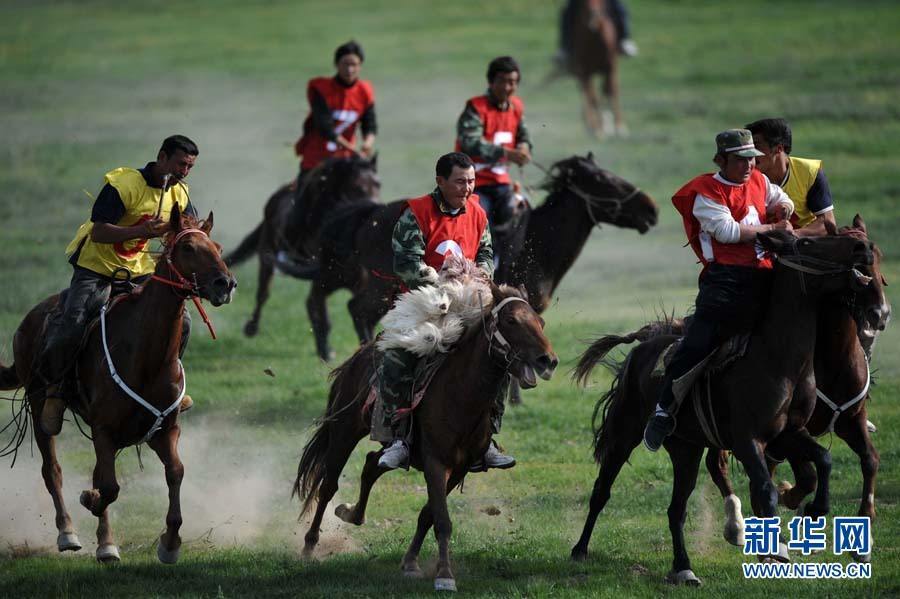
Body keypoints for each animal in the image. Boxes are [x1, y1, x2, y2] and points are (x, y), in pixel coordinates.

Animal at [0, 205, 237, 564]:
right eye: (187, 248)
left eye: (219, 248)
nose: (226, 283)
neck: (146, 359)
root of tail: (27, 321)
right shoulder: (104, 430)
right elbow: (108, 487)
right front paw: (90, 501)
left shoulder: (164, 430)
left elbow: (174, 472)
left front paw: (170, 543)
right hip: (40, 406)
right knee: (52, 470)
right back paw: (68, 532)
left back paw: (104, 542)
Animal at [292, 284, 556, 592]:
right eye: (512, 321)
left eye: (541, 322)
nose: (548, 360)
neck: (460, 396)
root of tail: (360, 354)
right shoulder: (435, 463)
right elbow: (442, 519)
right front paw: (444, 575)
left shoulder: (459, 467)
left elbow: (428, 515)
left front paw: (410, 562)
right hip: (344, 432)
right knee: (328, 486)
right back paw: (309, 546)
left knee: (371, 464)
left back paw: (352, 514)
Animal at [572, 232, 876, 588]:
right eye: (807, 242)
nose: (863, 247)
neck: (779, 358)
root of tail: (640, 349)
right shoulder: (749, 441)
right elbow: (766, 490)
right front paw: (775, 549)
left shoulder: (788, 434)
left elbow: (823, 461)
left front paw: (814, 509)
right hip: (625, 434)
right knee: (602, 491)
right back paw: (580, 549)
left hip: (685, 450)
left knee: (676, 509)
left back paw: (684, 567)